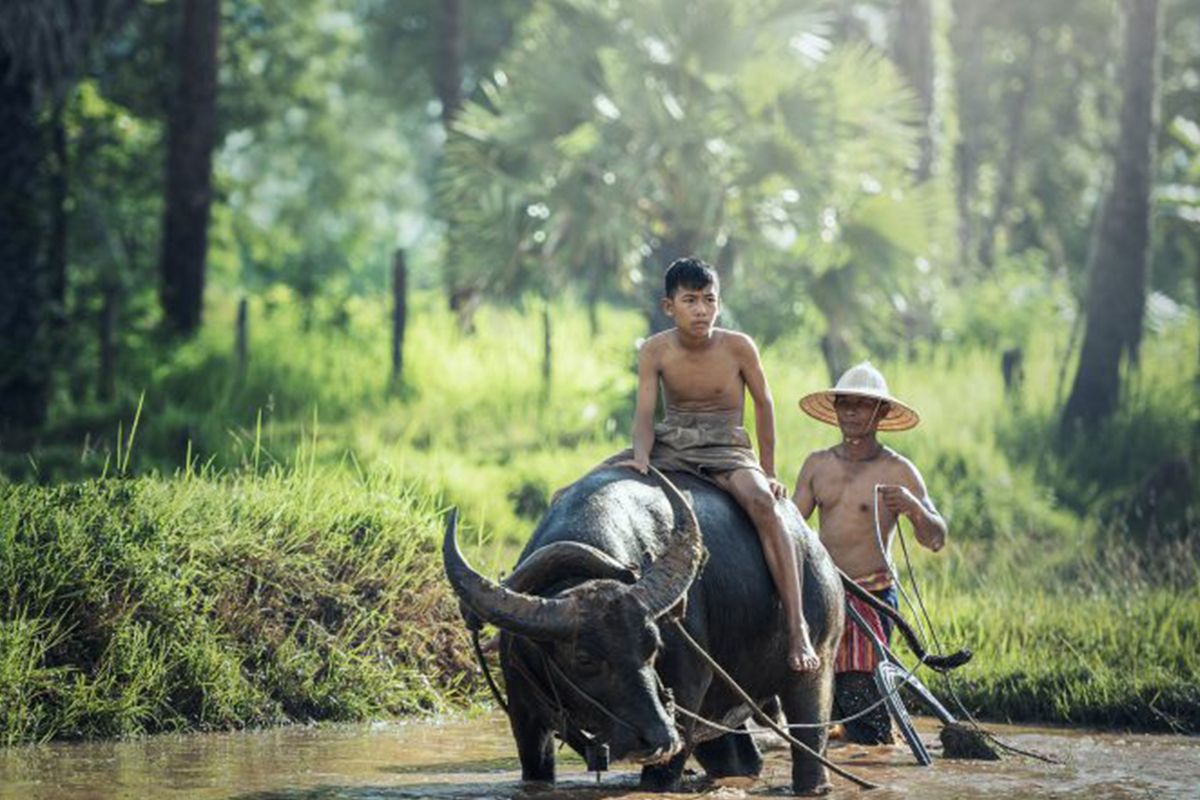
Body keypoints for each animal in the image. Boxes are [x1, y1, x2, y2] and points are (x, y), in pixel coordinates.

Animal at [446, 465, 849, 796]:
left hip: (817, 665)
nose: (657, 737)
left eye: (653, 646)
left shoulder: (686, 699)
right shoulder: (525, 718)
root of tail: (815, 548)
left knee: (810, 740)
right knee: (739, 758)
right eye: (584, 658)